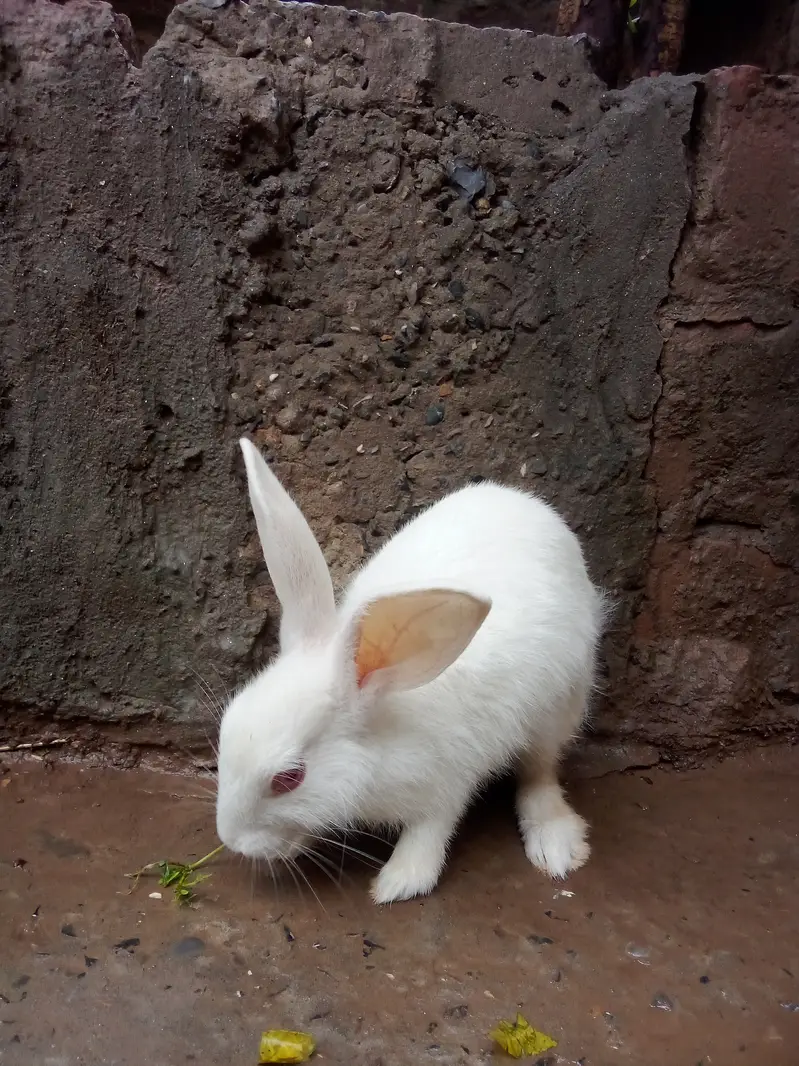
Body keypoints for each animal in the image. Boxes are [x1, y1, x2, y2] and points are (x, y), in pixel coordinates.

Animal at [215, 437, 607, 904]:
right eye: (225, 727)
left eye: (289, 778)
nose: (230, 839)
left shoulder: (446, 783)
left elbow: (429, 831)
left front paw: (397, 883)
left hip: (559, 705)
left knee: (540, 771)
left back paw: (556, 844)